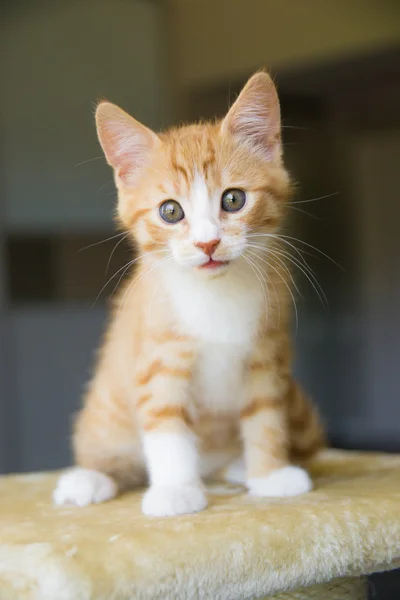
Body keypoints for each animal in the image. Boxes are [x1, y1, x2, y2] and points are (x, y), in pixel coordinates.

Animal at [53, 71, 324, 516]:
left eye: (233, 199)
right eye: (170, 211)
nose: (207, 243)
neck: (215, 294)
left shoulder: (267, 355)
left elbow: (266, 415)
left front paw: (269, 476)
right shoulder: (157, 358)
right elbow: (166, 426)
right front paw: (176, 490)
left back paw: (237, 468)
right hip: (105, 413)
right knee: (108, 452)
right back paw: (89, 479)